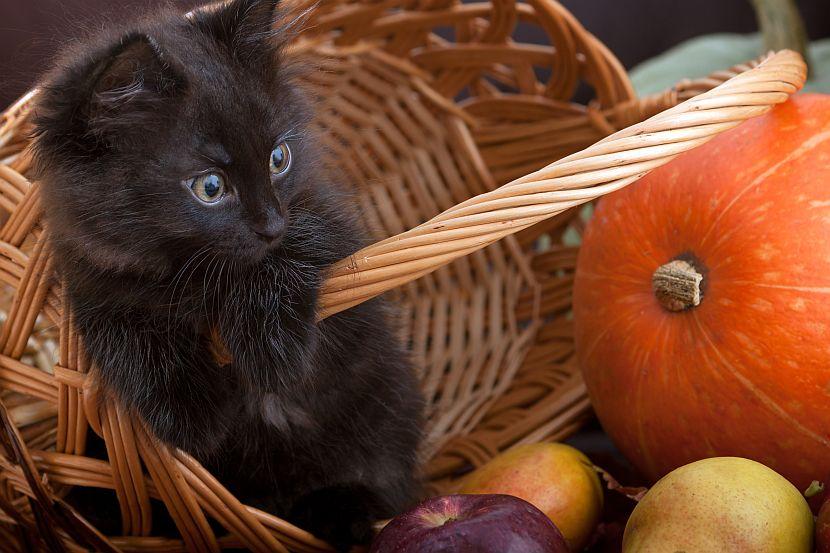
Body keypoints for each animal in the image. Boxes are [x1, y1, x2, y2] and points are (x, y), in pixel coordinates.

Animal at [30, 0, 422, 548]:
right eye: (210, 187)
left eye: (279, 158)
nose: (271, 224)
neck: (192, 273)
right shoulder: (93, 277)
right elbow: (128, 335)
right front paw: (189, 412)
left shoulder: (330, 227)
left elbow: (293, 259)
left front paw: (271, 345)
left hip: (386, 407)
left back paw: (342, 514)